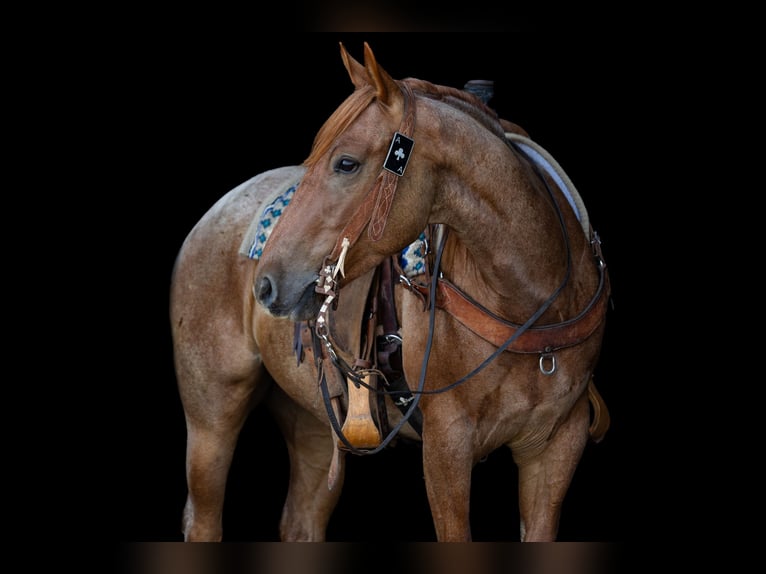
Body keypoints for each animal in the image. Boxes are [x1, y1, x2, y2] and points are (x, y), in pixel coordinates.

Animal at [171, 41, 611, 542]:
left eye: (346, 163)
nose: (266, 283)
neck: (529, 306)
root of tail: (216, 213)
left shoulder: (557, 447)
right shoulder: (446, 446)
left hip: (315, 422)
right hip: (211, 416)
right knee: (204, 516)